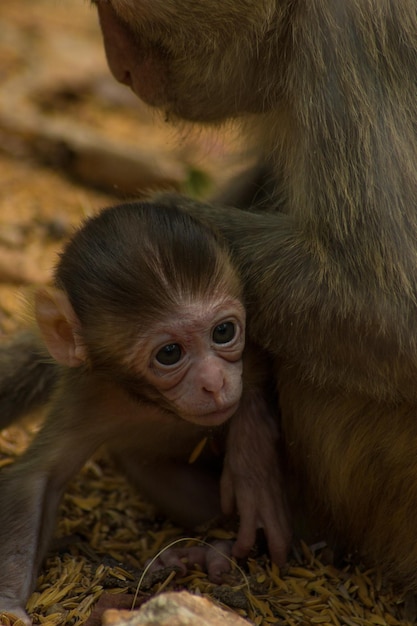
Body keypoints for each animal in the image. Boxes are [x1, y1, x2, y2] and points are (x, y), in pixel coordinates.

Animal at [0, 199, 290, 620]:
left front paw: (252, 457)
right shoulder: (88, 394)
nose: (214, 382)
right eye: (169, 353)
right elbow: (36, 477)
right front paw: (8, 603)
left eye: (223, 332)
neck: (153, 403)